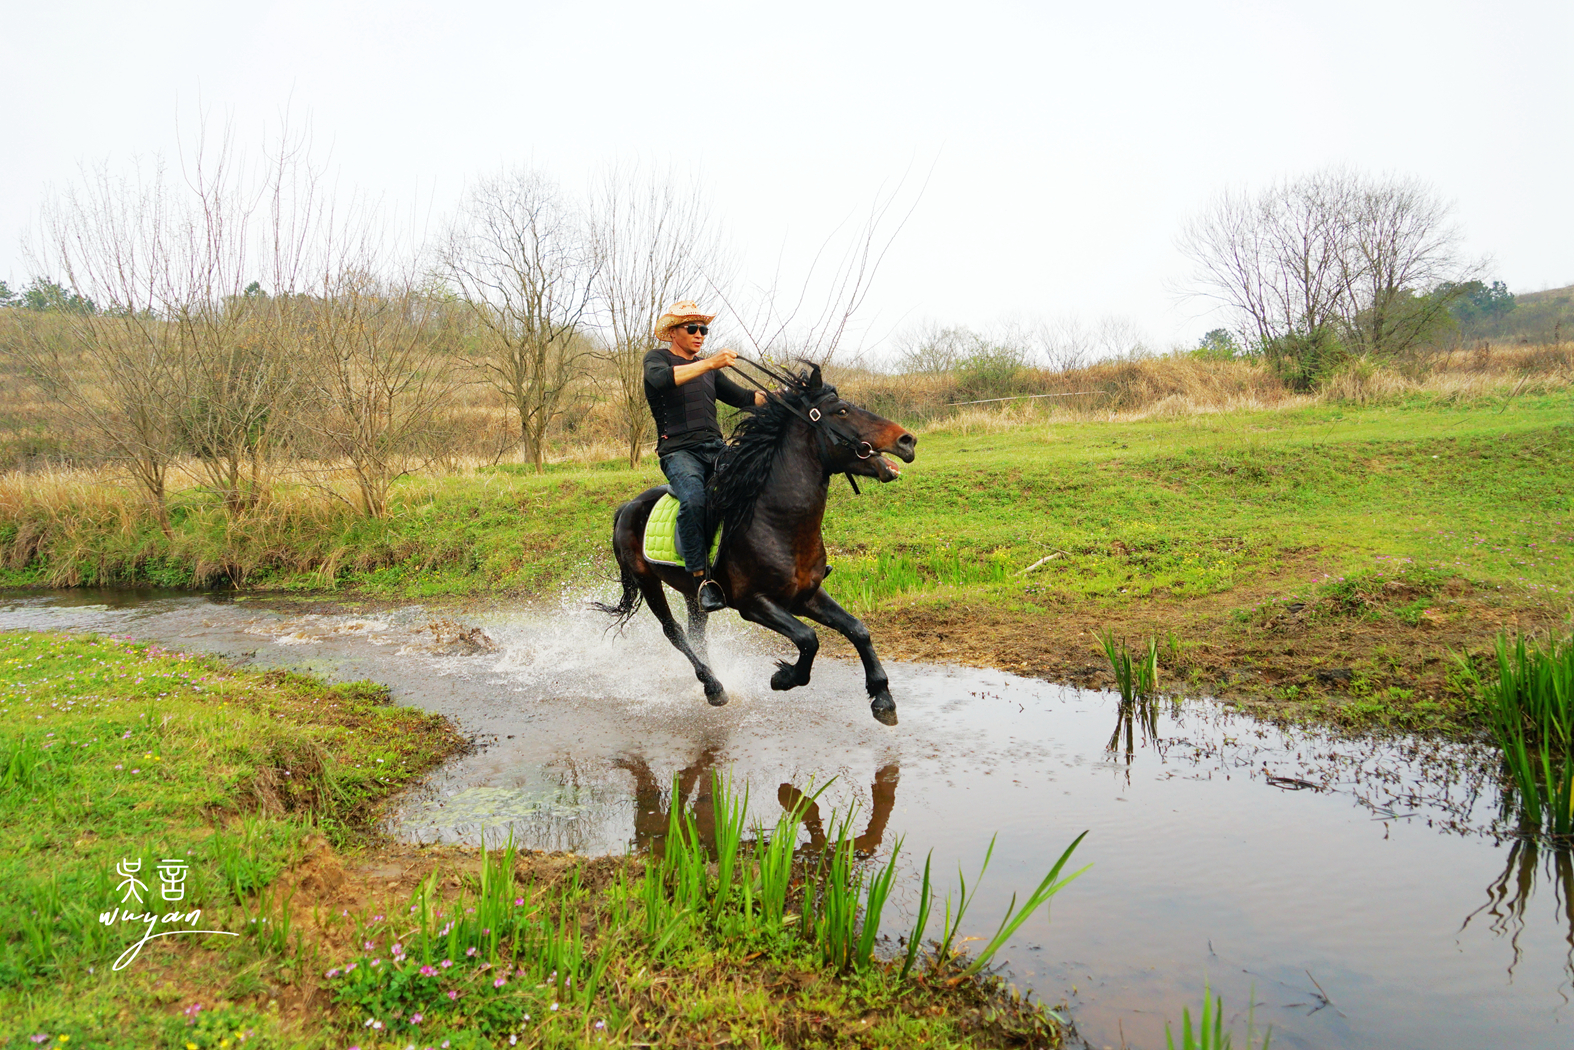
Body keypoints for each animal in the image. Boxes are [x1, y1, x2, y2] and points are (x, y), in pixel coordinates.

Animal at [601, 368, 919, 724]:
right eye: (842, 411)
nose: (907, 440)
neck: (776, 523)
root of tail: (627, 507)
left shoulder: (805, 596)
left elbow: (857, 629)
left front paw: (882, 696)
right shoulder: (753, 603)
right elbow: (808, 638)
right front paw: (784, 677)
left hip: (692, 591)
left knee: (697, 634)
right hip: (647, 581)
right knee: (675, 633)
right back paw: (713, 686)